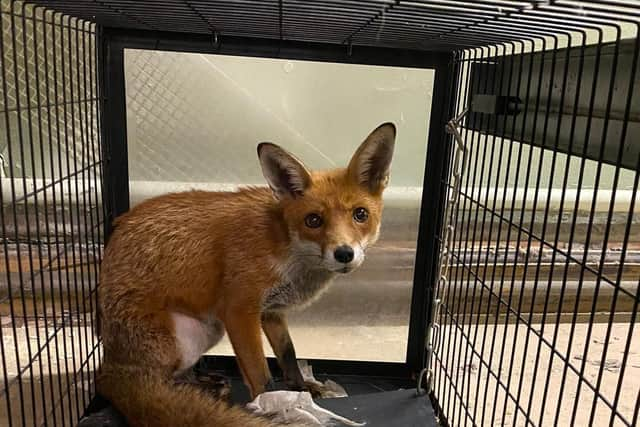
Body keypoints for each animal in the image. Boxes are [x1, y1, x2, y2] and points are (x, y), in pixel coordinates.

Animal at [95, 122, 396, 426]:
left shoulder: (272, 311)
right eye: (313, 220)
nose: (344, 253)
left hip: (209, 331)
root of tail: (109, 366)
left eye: (360, 214)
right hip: (185, 337)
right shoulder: (239, 310)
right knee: (157, 385)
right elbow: (260, 374)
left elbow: (288, 354)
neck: (285, 244)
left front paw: (301, 388)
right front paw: (271, 406)